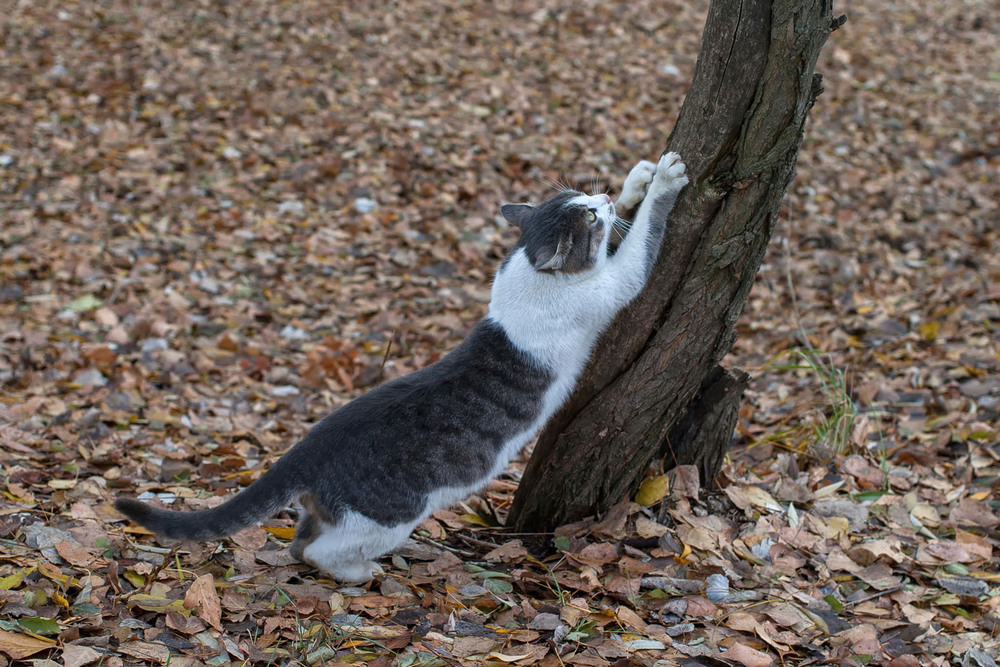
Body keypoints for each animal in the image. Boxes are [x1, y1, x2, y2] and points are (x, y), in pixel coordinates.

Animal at [115, 154, 688, 580]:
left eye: (586, 200)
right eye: (586, 218)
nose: (601, 201)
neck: (527, 268)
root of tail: (304, 450)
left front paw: (635, 180)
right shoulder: (605, 288)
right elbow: (637, 247)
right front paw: (663, 181)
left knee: (302, 539)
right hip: (389, 515)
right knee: (319, 551)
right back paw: (359, 572)